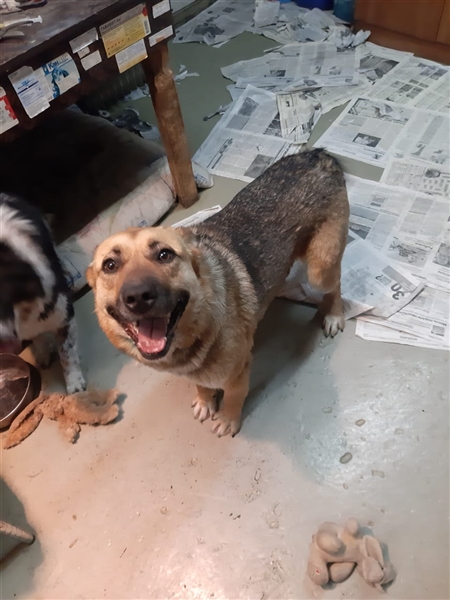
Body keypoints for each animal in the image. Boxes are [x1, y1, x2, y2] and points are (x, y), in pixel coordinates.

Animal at [87, 149, 349, 437]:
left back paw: (334, 315)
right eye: (110, 265)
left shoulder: (238, 371)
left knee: (336, 284)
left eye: (165, 255)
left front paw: (228, 419)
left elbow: (234, 396)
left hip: (320, 270)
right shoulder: (197, 371)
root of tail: (319, 155)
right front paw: (205, 400)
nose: (138, 297)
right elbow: (202, 384)